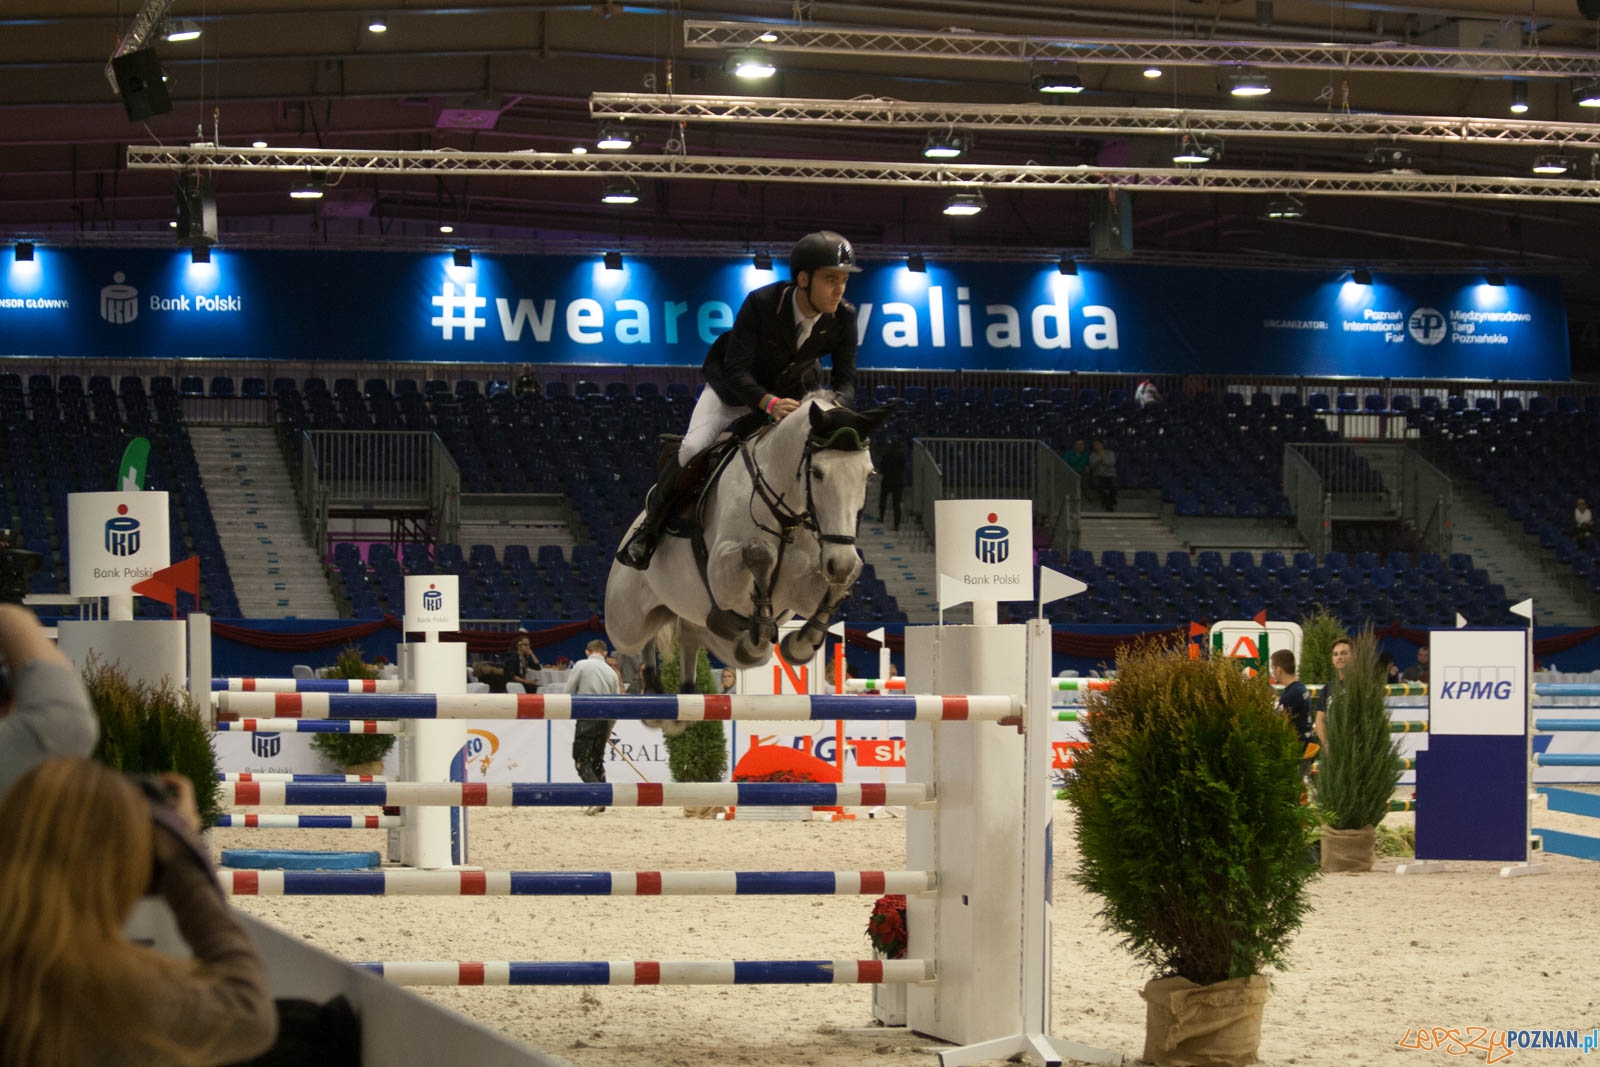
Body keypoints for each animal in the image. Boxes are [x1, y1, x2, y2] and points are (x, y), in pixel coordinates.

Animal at [605, 393, 894, 708]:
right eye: (817, 473)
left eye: (868, 475)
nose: (838, 563)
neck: (786, 516)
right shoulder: (721, 578)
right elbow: (760, 552)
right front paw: (762, 627)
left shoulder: (803, 591)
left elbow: (842, 582)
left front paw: (799, 643)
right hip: (624, 624)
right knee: (643, 638)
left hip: (707, 630)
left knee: (692, 635)